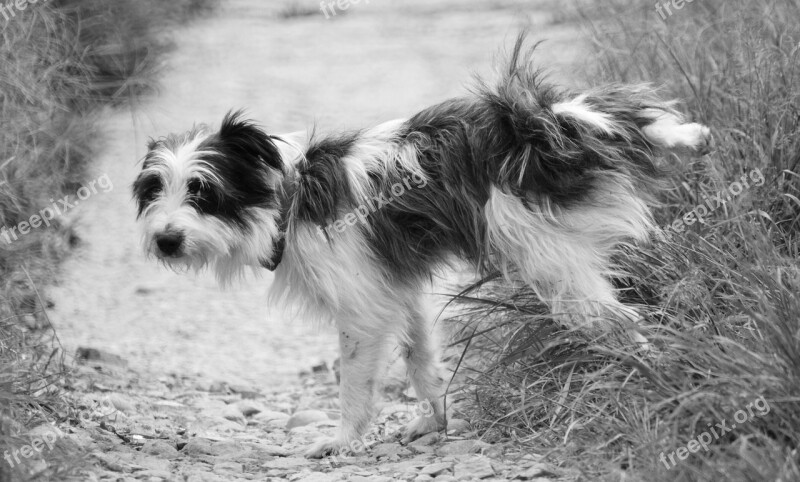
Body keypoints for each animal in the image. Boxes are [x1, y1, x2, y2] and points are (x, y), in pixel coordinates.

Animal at [131, 36, 712, 456]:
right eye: (154, 191)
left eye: (202, 191)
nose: (165, 240)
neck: (291, 197)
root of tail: (536, 128)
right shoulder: (399, 291)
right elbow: (421, 362)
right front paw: (434, 421)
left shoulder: (361, 309)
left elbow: (355, 384)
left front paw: (341, 442)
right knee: (628, 112)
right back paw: (687, 134)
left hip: (552, 265)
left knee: (622, 322)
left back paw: (652, 377)